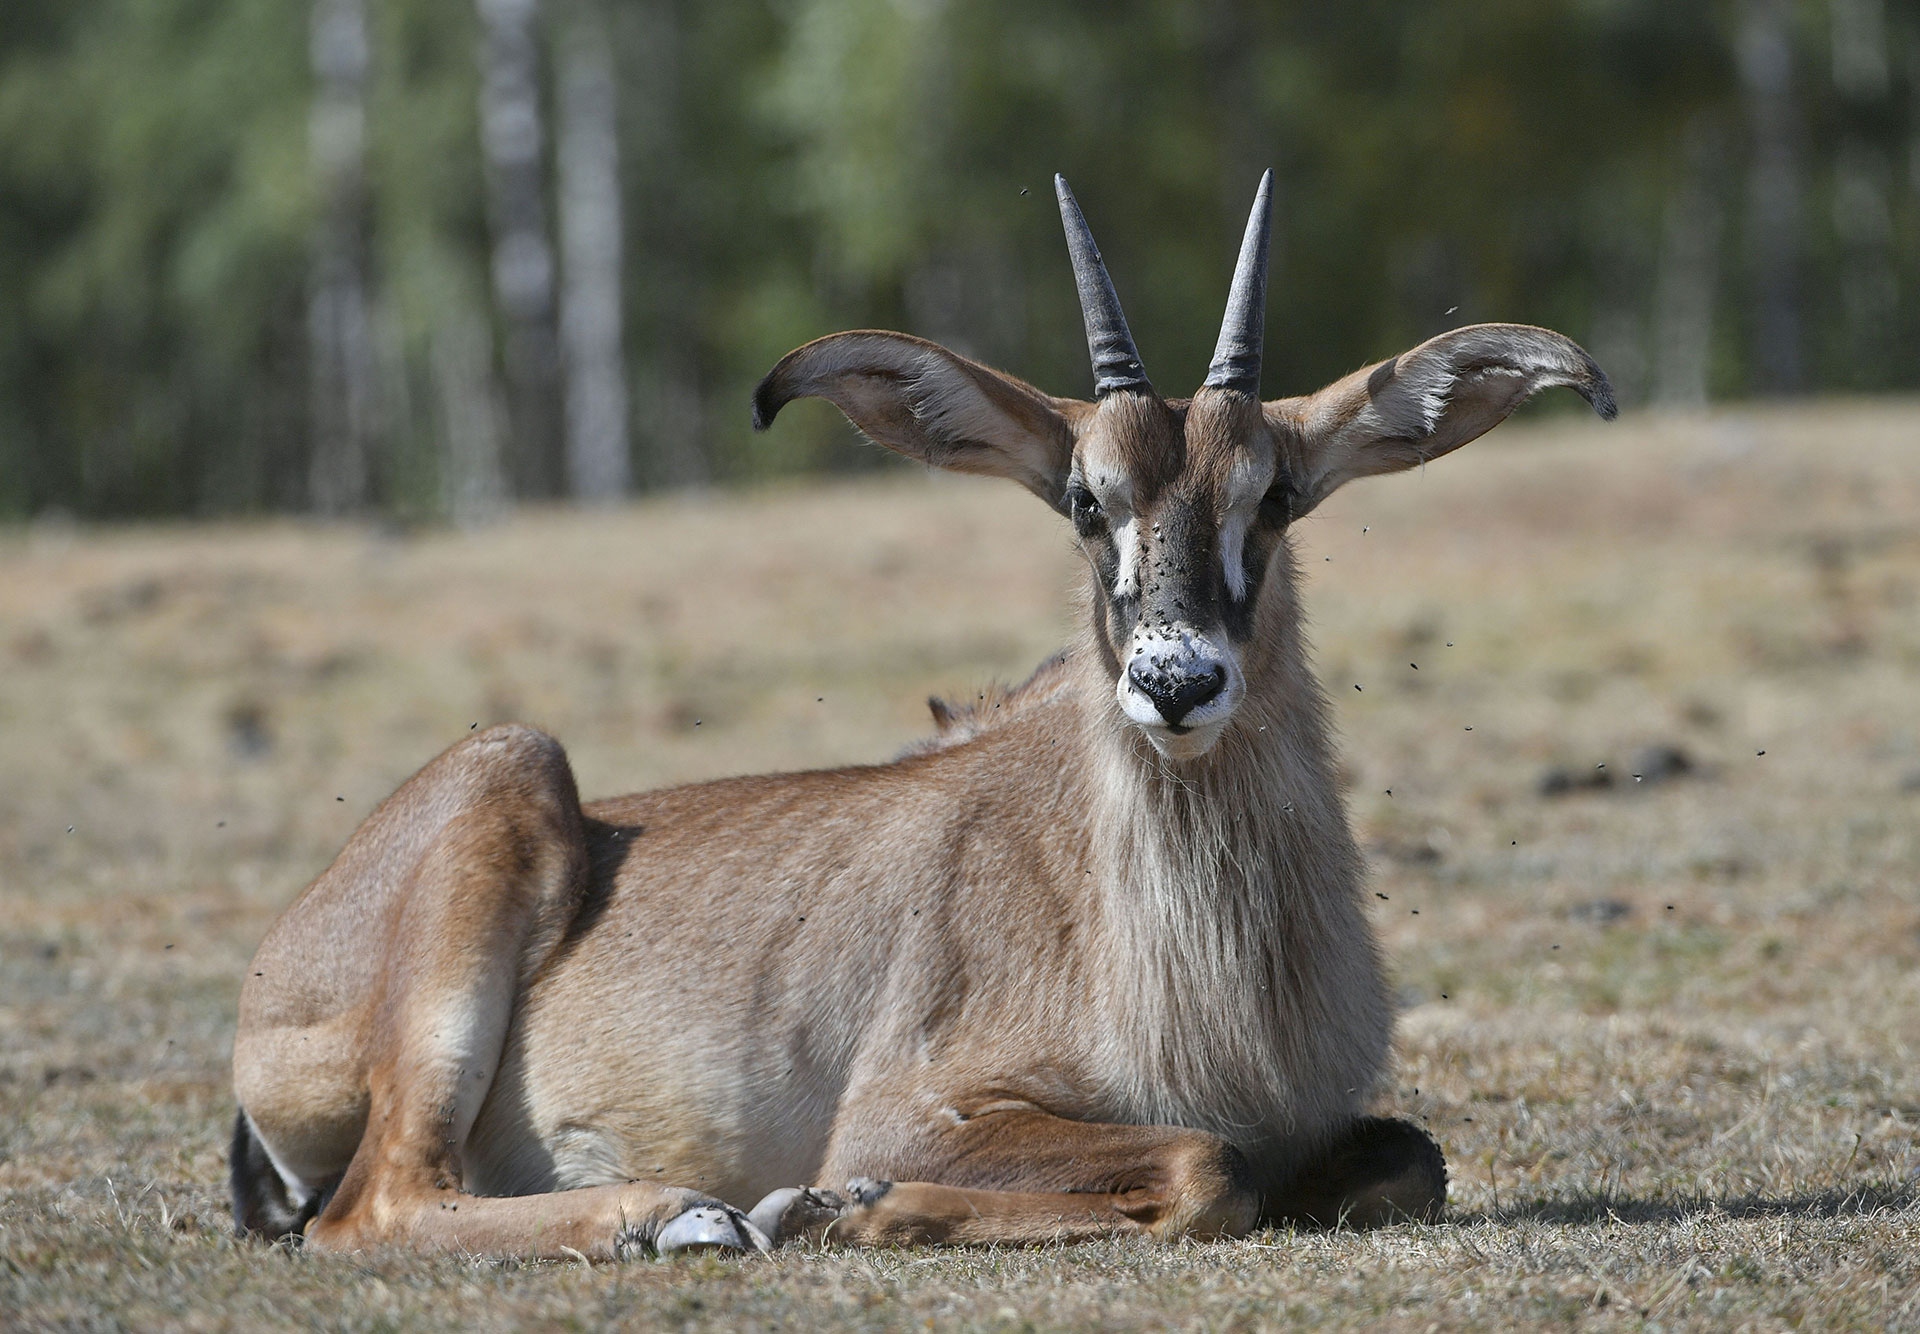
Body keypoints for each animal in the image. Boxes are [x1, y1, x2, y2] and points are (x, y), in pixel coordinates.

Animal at [232, 171, 1612, 1259]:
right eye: (1085, 501)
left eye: (1273, 498)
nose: (1177, 683)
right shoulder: (909, 1107)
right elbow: (1201, 1162)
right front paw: (842, 1206)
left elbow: (1404, 1159)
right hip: (506, 789)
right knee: (376, 1206)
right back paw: (674, 1212)